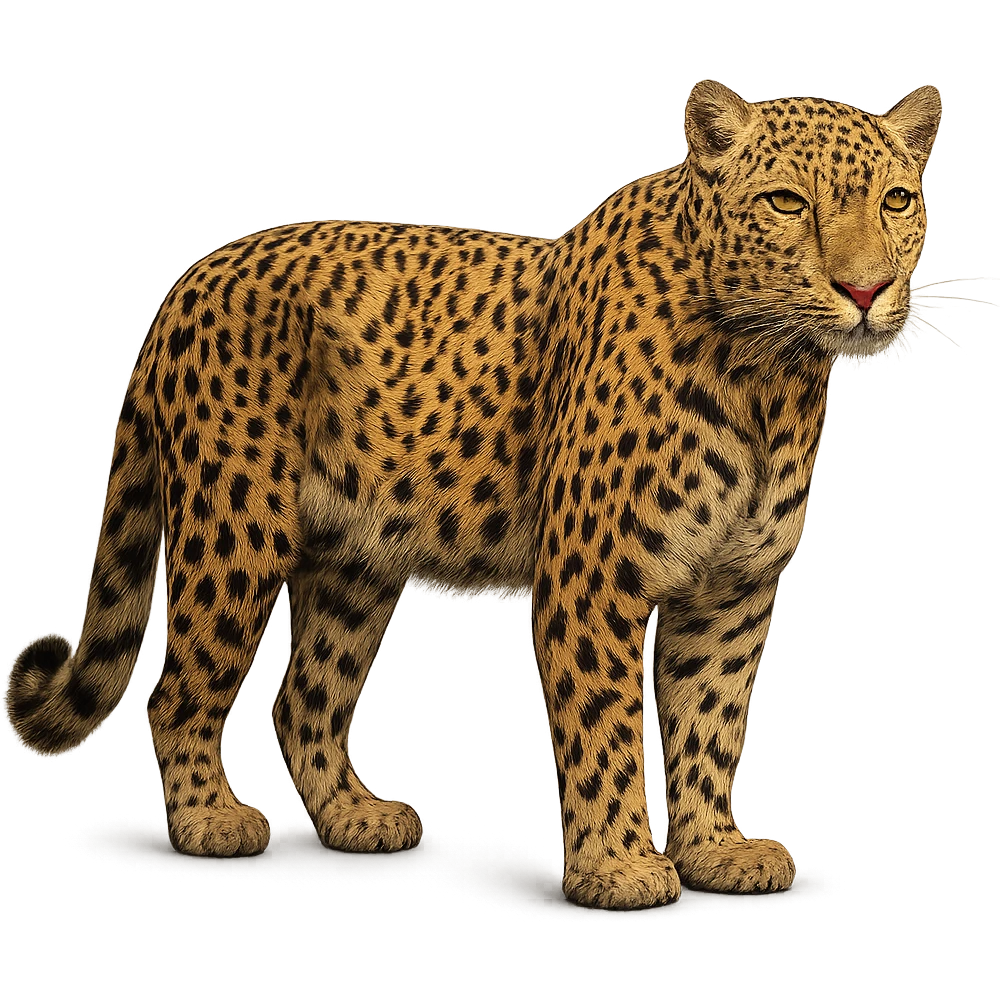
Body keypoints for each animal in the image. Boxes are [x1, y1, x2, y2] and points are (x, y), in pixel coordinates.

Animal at [5, 79, 941, 910]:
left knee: (305, 696)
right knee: (180, 689)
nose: (864, 292)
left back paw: (355, 817)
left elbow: (708, 722)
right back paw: (210, 820)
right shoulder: (596, 575)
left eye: (897, 201)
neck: (773, 375)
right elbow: (604, 722)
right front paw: (618, 869)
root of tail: (189, 278)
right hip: (238, 526)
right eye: (787, 203)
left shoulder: (733, 591)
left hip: (355, 563)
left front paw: (714, 850)